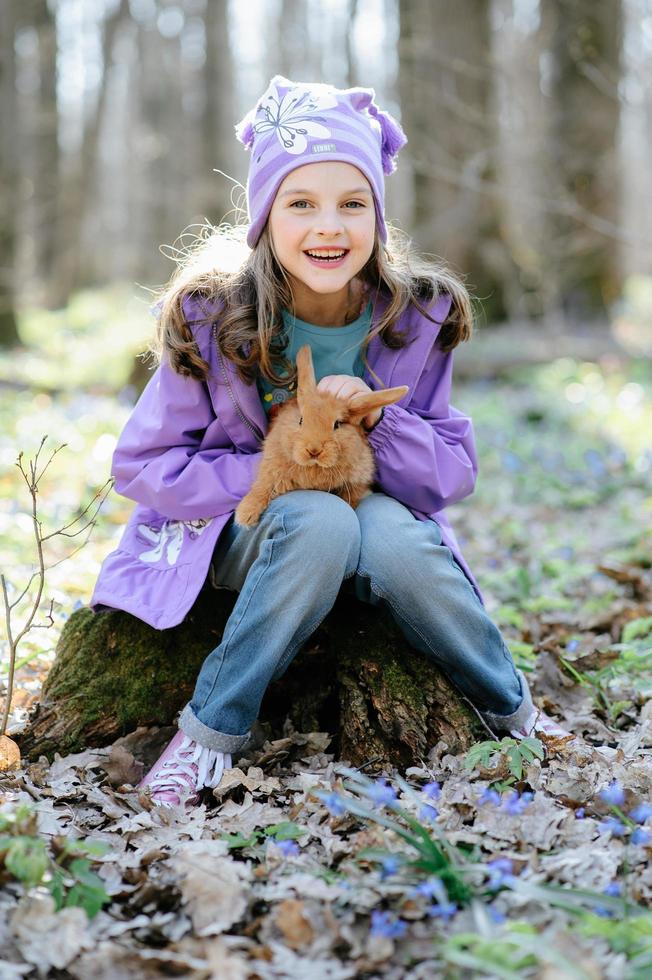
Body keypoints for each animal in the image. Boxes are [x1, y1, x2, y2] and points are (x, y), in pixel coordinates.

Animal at [234, 344, 408, 528]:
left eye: (337, 424)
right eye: (301, 420)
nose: (314, 450)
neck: (315, 468)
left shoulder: (357, 482)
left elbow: (352, 497)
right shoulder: (271, 466)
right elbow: (262, 486)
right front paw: (244, 515)